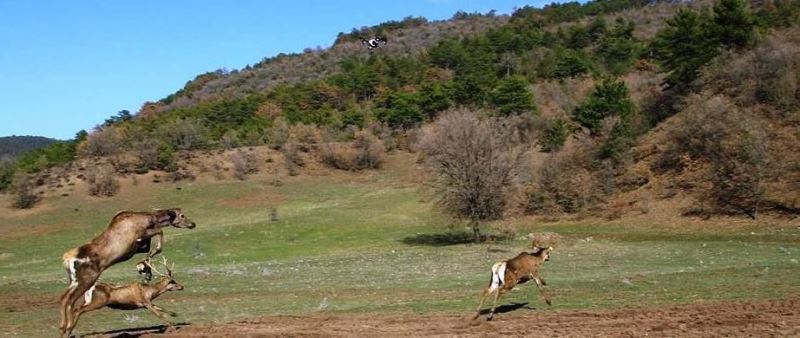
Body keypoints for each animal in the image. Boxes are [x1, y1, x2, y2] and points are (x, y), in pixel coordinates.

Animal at [59, 209, 195, 338]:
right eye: (182, 215)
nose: (193, 224)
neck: (150, 218)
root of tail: (66, 259)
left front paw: (144, 268)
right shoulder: (142, 235)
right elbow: (160, 236)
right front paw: (144, 266)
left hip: (75, 281)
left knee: (65, 298)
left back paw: (66, 330)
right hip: (87, 281)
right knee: (70, 301)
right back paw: (65, 328)